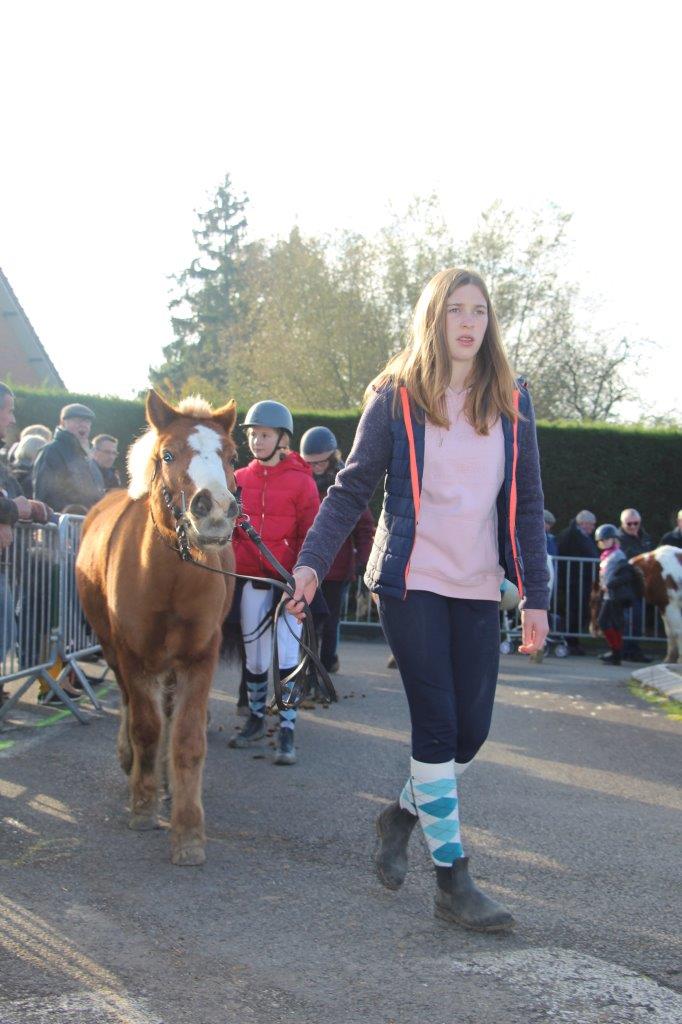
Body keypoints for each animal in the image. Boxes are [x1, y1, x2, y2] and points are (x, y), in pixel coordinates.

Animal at [74, 389, 237, 864]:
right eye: (168, 454)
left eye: (232, 456)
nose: (215, 510)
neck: (169, 577)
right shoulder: (134, 656)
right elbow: (146, 727)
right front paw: (143, 805)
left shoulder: (199, 658)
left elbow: (187, 739)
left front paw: (188, 831)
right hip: (112, 649)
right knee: (132, 706)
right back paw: (132, 762)